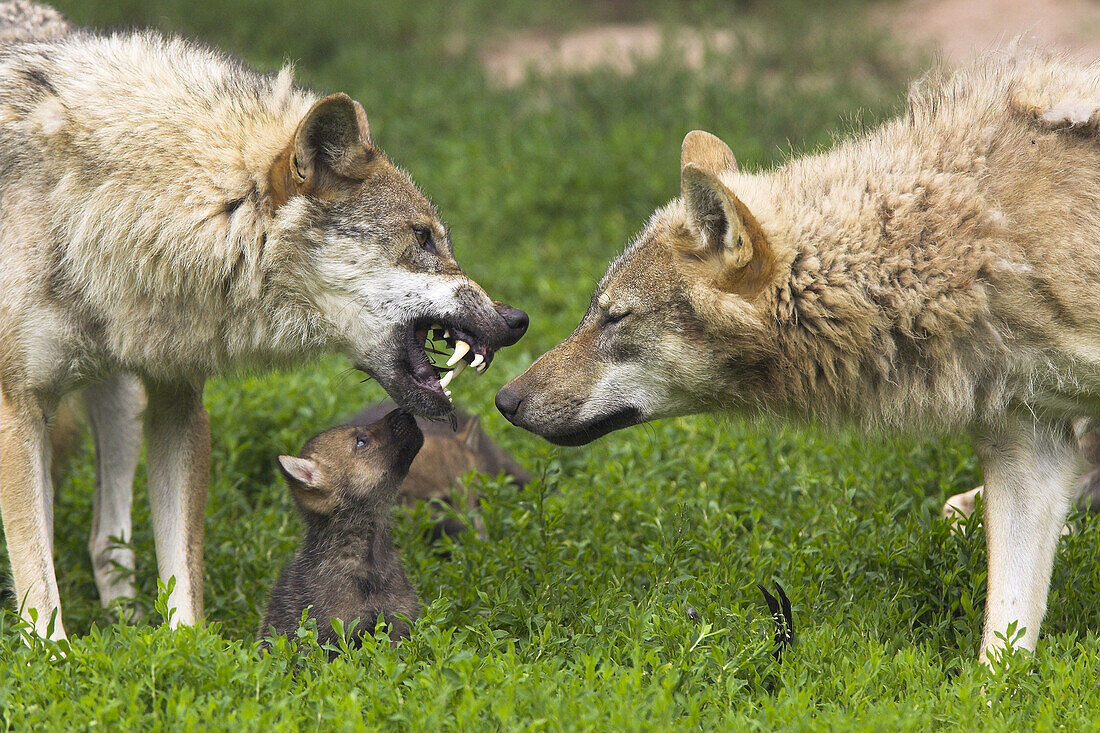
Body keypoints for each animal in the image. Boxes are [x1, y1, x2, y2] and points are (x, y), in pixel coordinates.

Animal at [0, 2, 525, 638]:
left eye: (439, 238)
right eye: (423, 238)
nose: (517, 319)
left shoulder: (178, 401)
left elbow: (183, 582)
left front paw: (185, 652)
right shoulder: (18, 408)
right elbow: (38, 591)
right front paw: (57, 658)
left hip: (121, 403)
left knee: (109, 541)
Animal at [499, 45, 1100, 660]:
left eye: (615, 316)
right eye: (593, 310)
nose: (504, 399)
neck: (984, 246)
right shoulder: (1028, 454)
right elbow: (1000, 651)